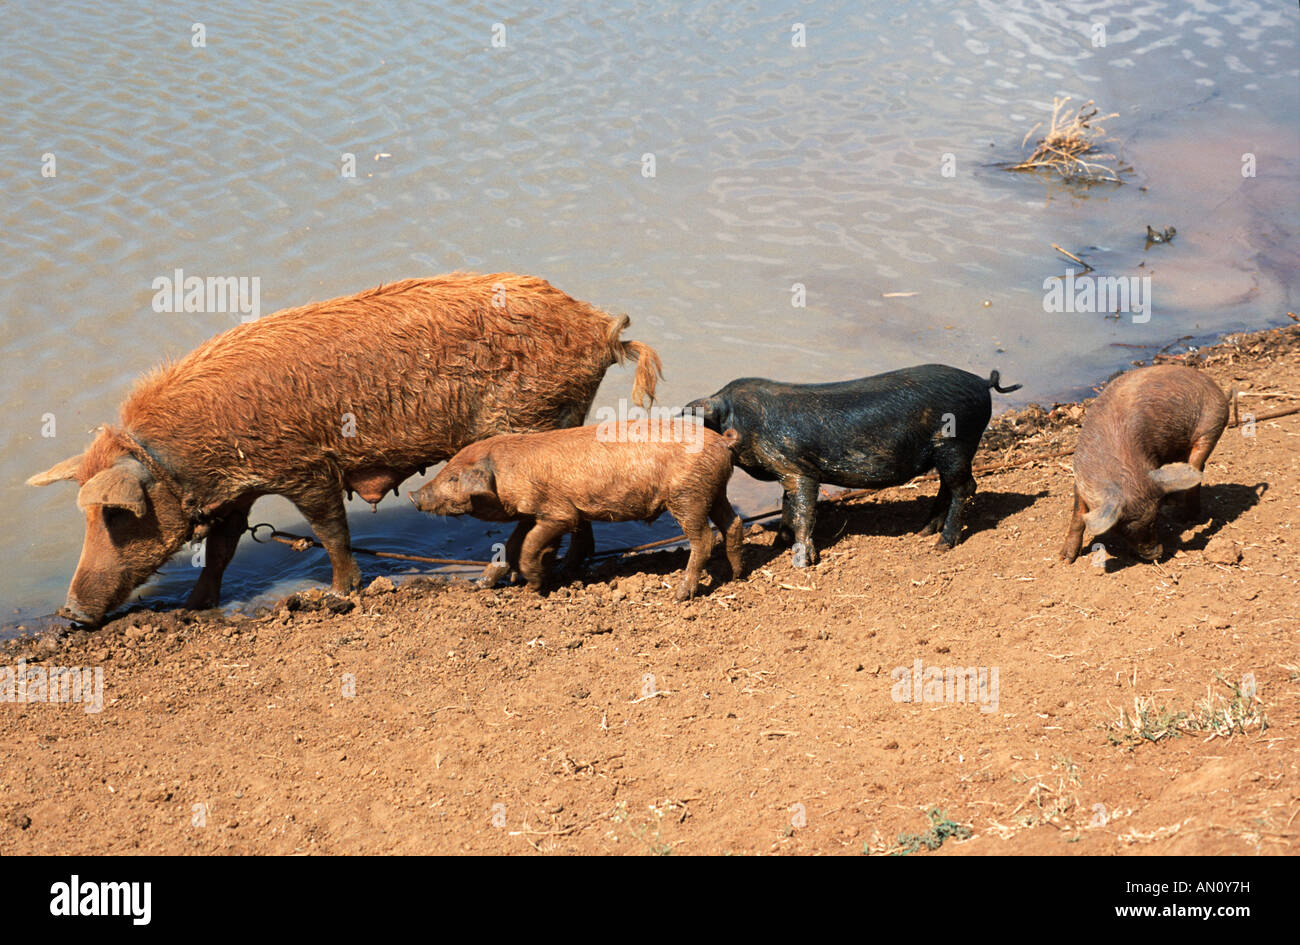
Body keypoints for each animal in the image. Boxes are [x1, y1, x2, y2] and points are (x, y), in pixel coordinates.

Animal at [28, 273, 663, 624]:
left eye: (115, 515)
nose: (70, 612)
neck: (182, 459)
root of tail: (602, 329)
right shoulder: (238, 492)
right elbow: (223, 548)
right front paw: (193, 607)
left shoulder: (305, 466)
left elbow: (331, 528)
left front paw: (338, 594)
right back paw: (567, 569)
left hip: (531, 422)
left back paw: (501, 579)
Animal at [409, 421, 744, 601]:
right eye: (447, 470)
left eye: (453, 478)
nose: (414, 496)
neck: (509, 474)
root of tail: (722, 442)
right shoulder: (529, 513)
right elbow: (510, 545)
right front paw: (482, 584)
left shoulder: (558, 512)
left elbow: (529, 545)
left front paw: (534, 586)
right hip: (715, 491)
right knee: (734, 523)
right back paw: (737, 575)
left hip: (688, 496)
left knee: (703, 537)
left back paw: (679, 595)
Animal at [685, 364, 1022, 566]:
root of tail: (981, 383)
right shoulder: (788, 471)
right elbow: (787, 507)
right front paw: (779, 543)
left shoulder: (797, 468)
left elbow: (803, 509)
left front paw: (801, 562)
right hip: (946, 451)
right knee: (946, 487)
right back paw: (923, 531)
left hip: (957, 443)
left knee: (965, 486)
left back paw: (941, 544)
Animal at [1060, 364, 1229, 563]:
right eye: (1123, 528)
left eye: (1154, 520)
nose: (1156, 553)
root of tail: (1216, 386)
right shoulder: (1079, 480)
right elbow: (1078, 514)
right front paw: (1064, 559)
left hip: (1211, 427)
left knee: (1197, 467)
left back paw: (1182, 515)